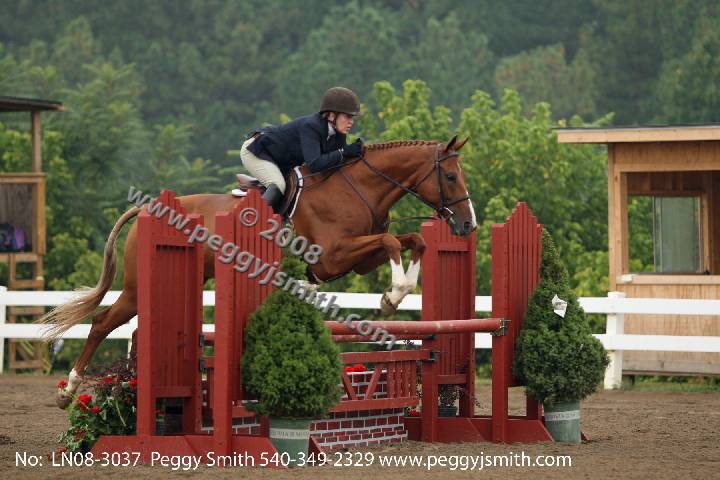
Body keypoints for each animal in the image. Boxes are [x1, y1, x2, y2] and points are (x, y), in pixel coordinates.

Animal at [42, 135, 476, 408]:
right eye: (450, 176)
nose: (468, 225)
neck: (359, 187)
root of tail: (149, 209)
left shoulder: (354, 258)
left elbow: (411, 241)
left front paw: (398, 291)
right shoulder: (331, 258)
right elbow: (390, 242)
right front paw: (393, 297)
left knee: (131, 331)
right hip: (134, 289)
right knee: (102, 323)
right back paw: (69, 392)